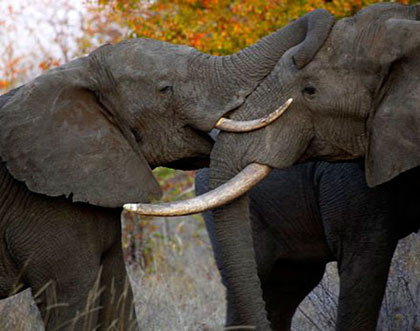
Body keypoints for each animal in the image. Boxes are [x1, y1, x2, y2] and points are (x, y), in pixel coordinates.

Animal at [0, 8, 334, 331]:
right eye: (165, 88)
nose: (299, 57)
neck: (79, 71)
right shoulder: (46, 209)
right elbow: (72, 302)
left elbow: (118, 300)